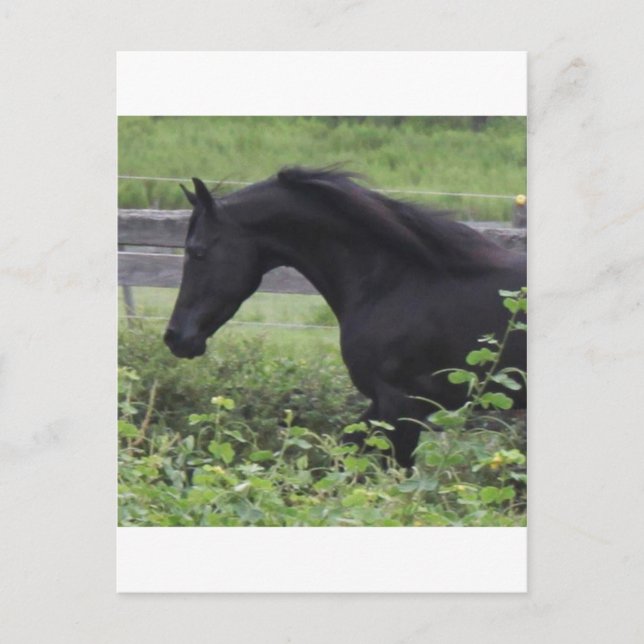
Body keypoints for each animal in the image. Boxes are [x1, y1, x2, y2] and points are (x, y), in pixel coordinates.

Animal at [164, 167, 526, 467]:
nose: (175, 337)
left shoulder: (402, 404)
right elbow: (343, 454)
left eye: (197, 251)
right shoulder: (382, 404)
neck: (396, 282)